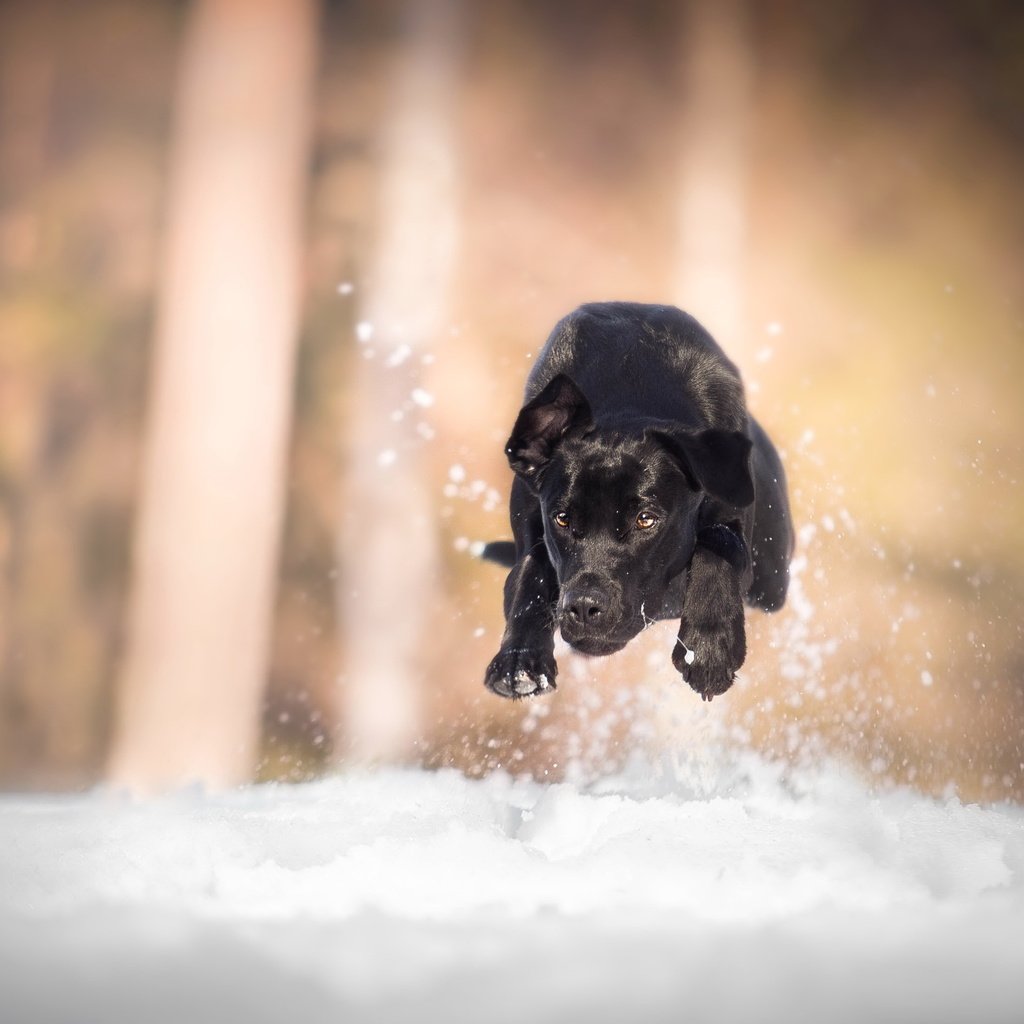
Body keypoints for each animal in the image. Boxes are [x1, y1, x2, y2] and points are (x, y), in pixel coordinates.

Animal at [479, 303, 790, 700]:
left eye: (646, 519)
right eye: (562, 518)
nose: (584, 606)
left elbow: (720, 543)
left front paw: (708, 647)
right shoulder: (533, 525)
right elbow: (530, 574)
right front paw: (519, 662)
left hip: (772, 579)